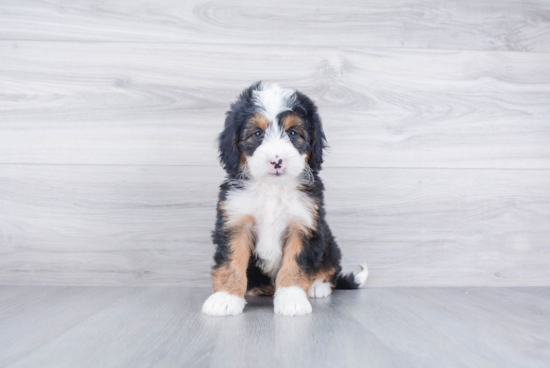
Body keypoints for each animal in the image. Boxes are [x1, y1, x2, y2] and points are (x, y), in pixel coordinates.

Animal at [201, 81, 368, 316]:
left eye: (292, 133)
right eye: (258, 133)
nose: (276, 161)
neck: (272, 189)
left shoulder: (304, 225)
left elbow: (295, 263)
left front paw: (291, 298)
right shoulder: (235, 221)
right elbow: (231, 261)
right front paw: (226, 297)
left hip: (330, 243)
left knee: (331, 269)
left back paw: (318, 286)